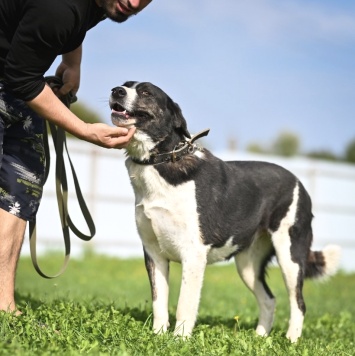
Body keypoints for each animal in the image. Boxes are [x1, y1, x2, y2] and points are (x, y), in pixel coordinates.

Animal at [109, 80, 342, 342]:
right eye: (126, 85)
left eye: (146, 92)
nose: (116, 90)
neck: (163, 159)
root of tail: (299, 182)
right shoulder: (153, 252)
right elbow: (159, 301)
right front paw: (158, 336)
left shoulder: (194, 254)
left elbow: (184, 304)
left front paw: (179, 340)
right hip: (248, 265)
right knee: (269, 299)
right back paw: (260, 338)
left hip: (290, 255)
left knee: (298, 303)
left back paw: (291, 340)